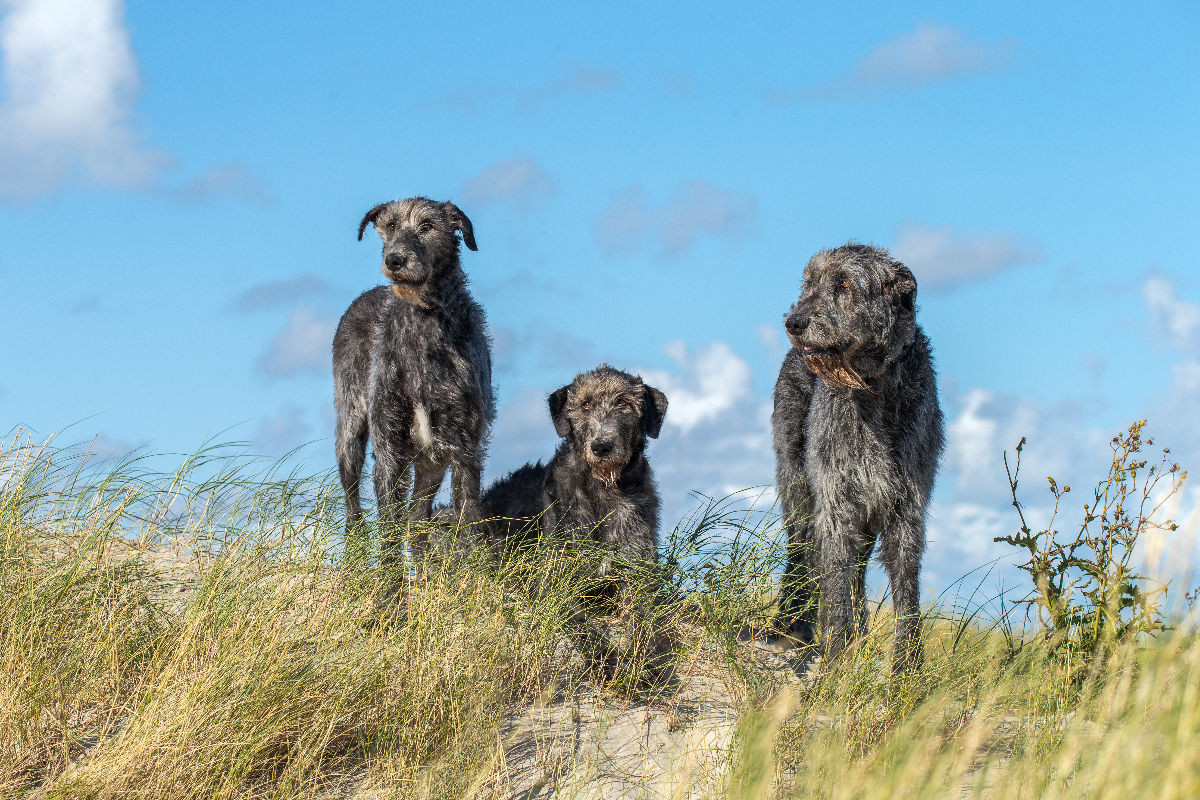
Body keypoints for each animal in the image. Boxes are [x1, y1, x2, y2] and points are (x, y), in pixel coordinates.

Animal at [331, 196, 494, 566]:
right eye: (390, 225)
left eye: (428, 226)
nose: (394, 260)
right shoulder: (389, 452)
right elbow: (389, 534)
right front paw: (387, 584)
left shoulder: (464, 450)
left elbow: (468, 523)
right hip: (351, 430)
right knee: (354, 513)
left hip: (431, 465)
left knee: (417, 521)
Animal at [768, 244, 945, 676]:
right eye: (808, 283)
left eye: (844, 284)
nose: (793, 322)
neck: (874, 388)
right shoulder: (835, 501)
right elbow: (833, 586)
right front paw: (834, 662)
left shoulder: (906, 509)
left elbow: (905, 589)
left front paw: (907, 670)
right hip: (798, 484)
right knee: (801, 550)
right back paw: (791, 629)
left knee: (856, 572)